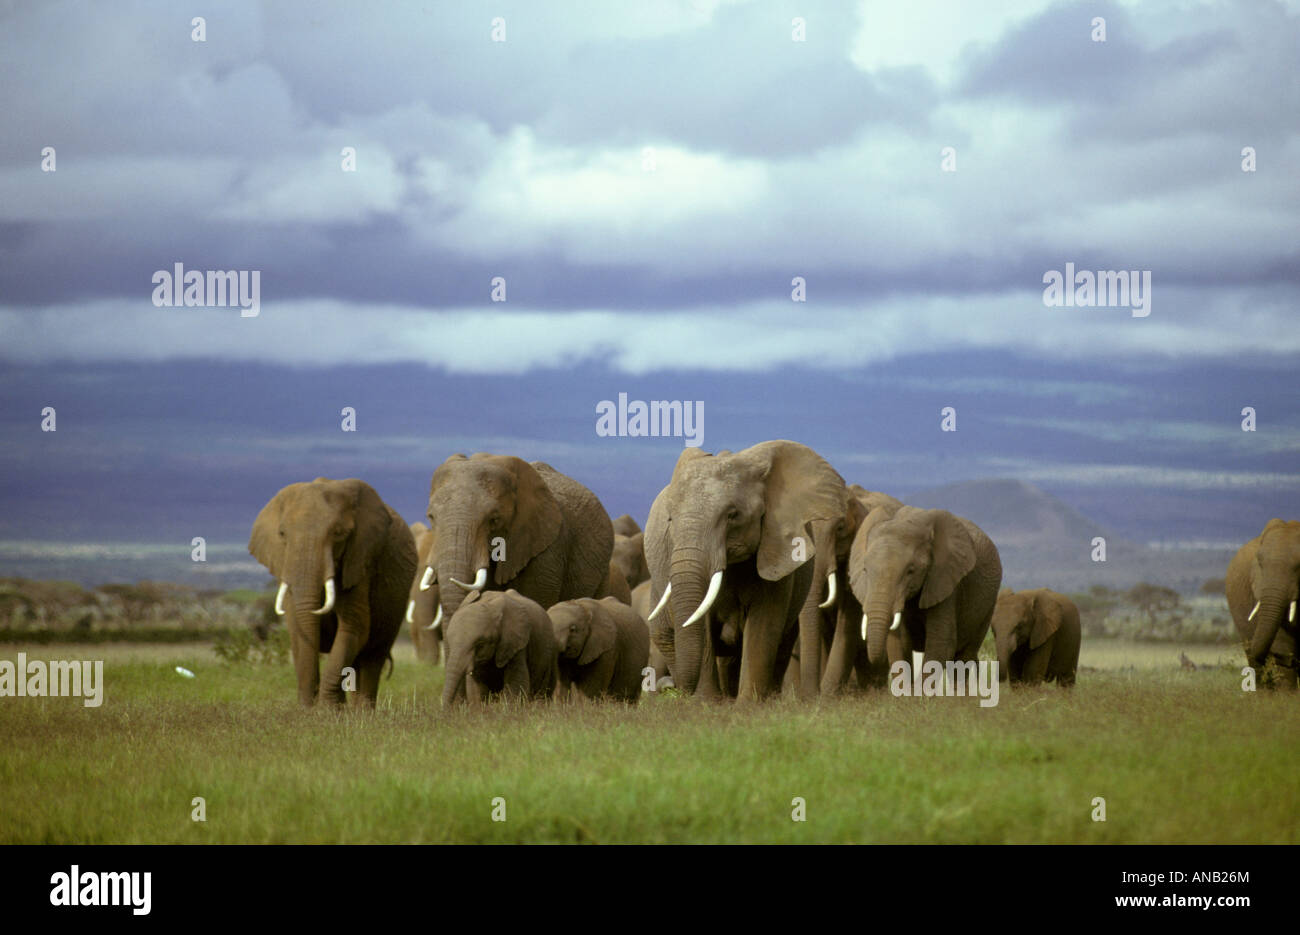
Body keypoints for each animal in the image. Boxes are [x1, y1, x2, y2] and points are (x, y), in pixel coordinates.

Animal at [248, 477, 416, 707]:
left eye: (338, 534)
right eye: (282, 534)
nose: (309, 704)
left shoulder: (360, 559)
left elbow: (355, 626)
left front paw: (326, 709)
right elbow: (296, 627)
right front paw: (312, 709)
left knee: (372, 657)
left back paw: (361, 711)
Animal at [644, 440, 848, 701]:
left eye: (733, 516)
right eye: (670, 520)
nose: (671, 687)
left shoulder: (776, 546)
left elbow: (764, 623)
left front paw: (748, 704)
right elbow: (702, 622)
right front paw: (706, 703)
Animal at [848, 506, 1002, 674]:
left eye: (910, 571)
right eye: (865, 570)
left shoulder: (945, 581)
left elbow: (940, 644)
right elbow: (899, 646)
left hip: (988, 607)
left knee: (964, 656)